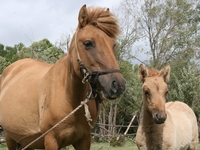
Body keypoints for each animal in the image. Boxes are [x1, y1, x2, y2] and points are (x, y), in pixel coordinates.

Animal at [0, 4, 126, 150]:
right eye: (88, 43)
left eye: (113, 45)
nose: (118, 85)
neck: (69, 98)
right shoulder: (51, 140)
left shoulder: (84, 140)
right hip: (10, 138)